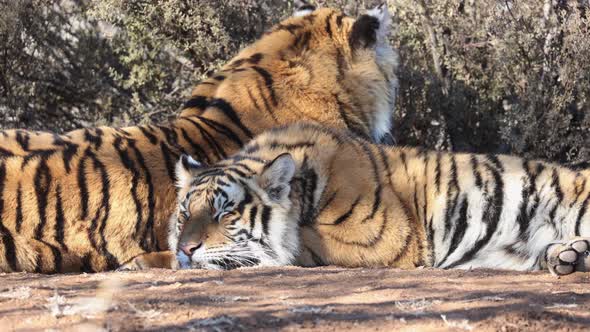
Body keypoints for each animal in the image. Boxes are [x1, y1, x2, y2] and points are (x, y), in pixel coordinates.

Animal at [131, 123, 590, 276]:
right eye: (185, 215)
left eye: (225, 213)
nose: (187, 247)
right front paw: (146, 260)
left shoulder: (386, 238)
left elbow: (298, 245)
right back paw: (568, 256)